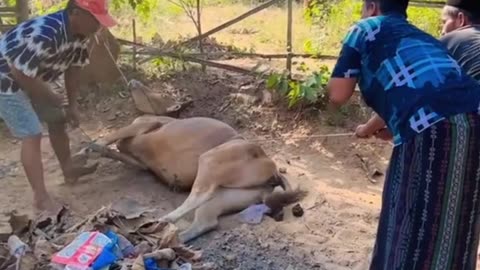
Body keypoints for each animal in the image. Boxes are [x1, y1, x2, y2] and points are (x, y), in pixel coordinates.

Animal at [85, 115, 304, 242]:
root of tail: (273, 170)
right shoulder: (140, 161)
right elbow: (112, 150)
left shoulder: (143, 125)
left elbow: (108, 138)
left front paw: (87, 147)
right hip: (223, 197)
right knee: (206, 221)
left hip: (210, 160)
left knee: (197, 196)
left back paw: (165, 220)